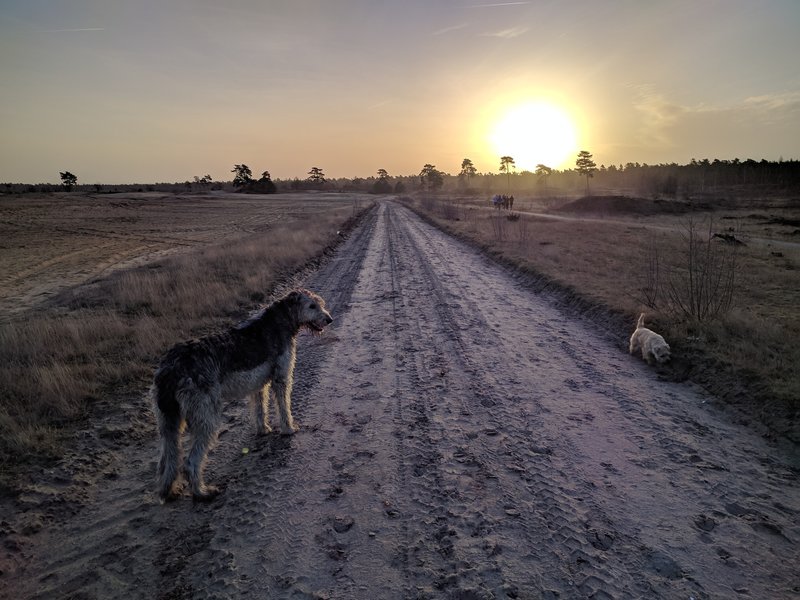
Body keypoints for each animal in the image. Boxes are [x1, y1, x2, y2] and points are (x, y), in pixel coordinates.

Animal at [152, 290, 332, 502]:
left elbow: (260, 409)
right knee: (190, 462)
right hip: (206, 417)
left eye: (320, 304)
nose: (329, 319)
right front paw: (289, 429)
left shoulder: (259, 385)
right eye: (312, 306)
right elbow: (284, 406)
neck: (283, 317)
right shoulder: (281, 377)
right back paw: (202, 492)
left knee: (166, 461)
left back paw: (170, 491)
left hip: (168, 421)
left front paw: (263, 430)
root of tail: (169, 368)